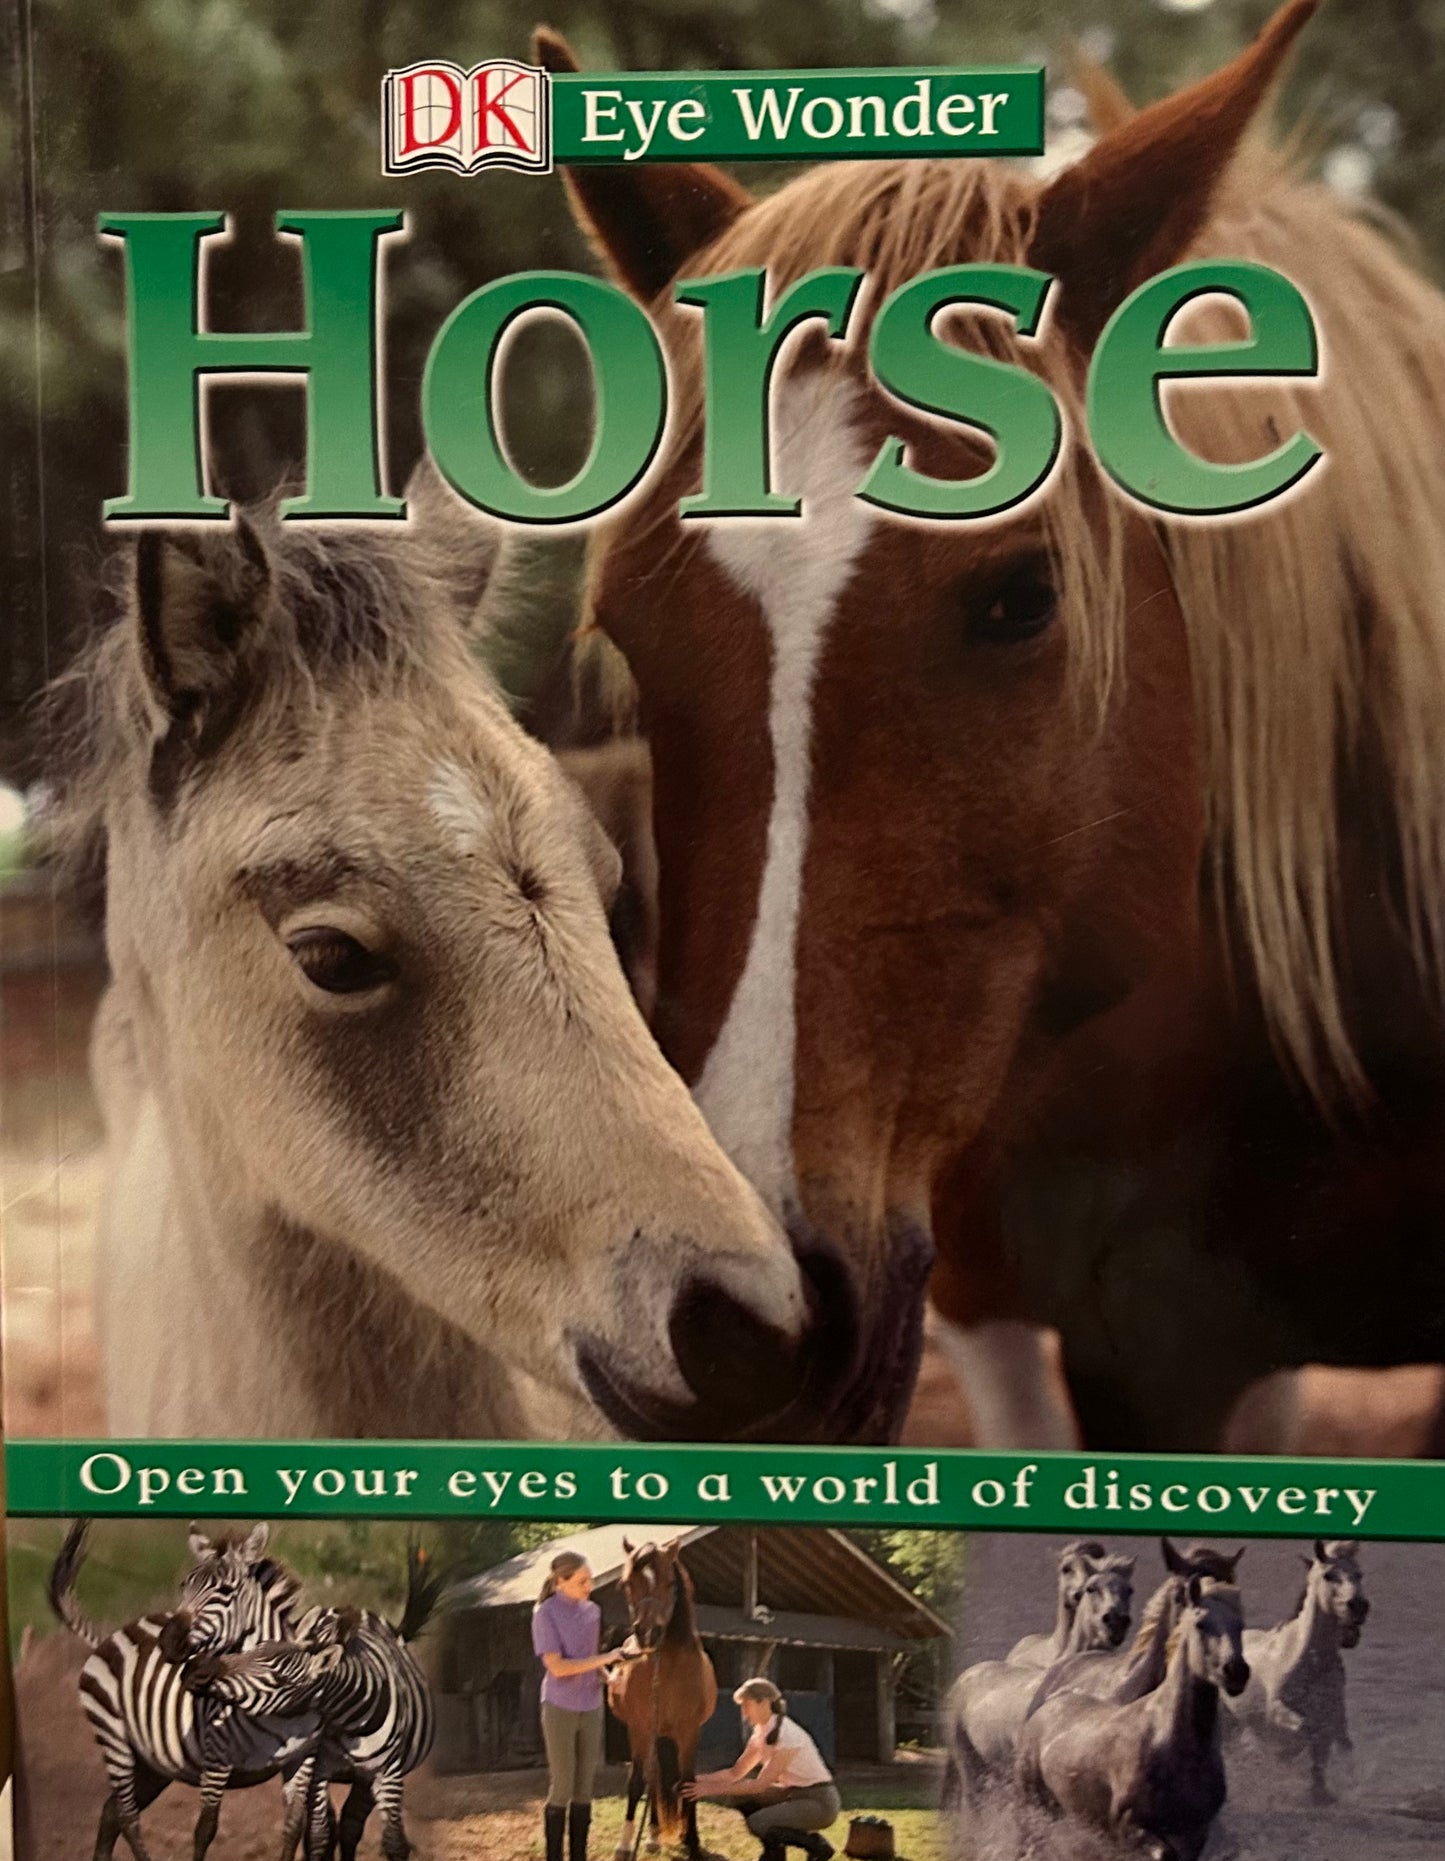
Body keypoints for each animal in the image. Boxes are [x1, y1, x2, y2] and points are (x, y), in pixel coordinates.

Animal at [609, 1537, 718, 1859]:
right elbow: (636, 1782)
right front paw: (624, 1844)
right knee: (653, 1776)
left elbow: (688, 1783)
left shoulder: (690, 1731)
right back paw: (653, 1835)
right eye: (627, 1583)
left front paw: (692, 1841)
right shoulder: (640, 1728)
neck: (666, 1667)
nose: (647, 1633)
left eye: (670, 1582)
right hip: (652, 1734)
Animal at [1016, 1577, 1250, 1861]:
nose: (1236, 1671)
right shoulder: (1128, 1827)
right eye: (1201, 1624)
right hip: (1034, 1805)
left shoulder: (1194, 1834)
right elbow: (1162, 1853)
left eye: (1240, 1625)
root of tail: (1046, 1706)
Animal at [1222, 1538, 1368, 1801]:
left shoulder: (1333, 1715)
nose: (1359, 1607)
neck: (1309, 1661)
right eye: (1329, 1575)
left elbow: (1328, 1746)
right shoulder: (1277, 1710)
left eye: (1359, 1574)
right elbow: (1303, 1730)